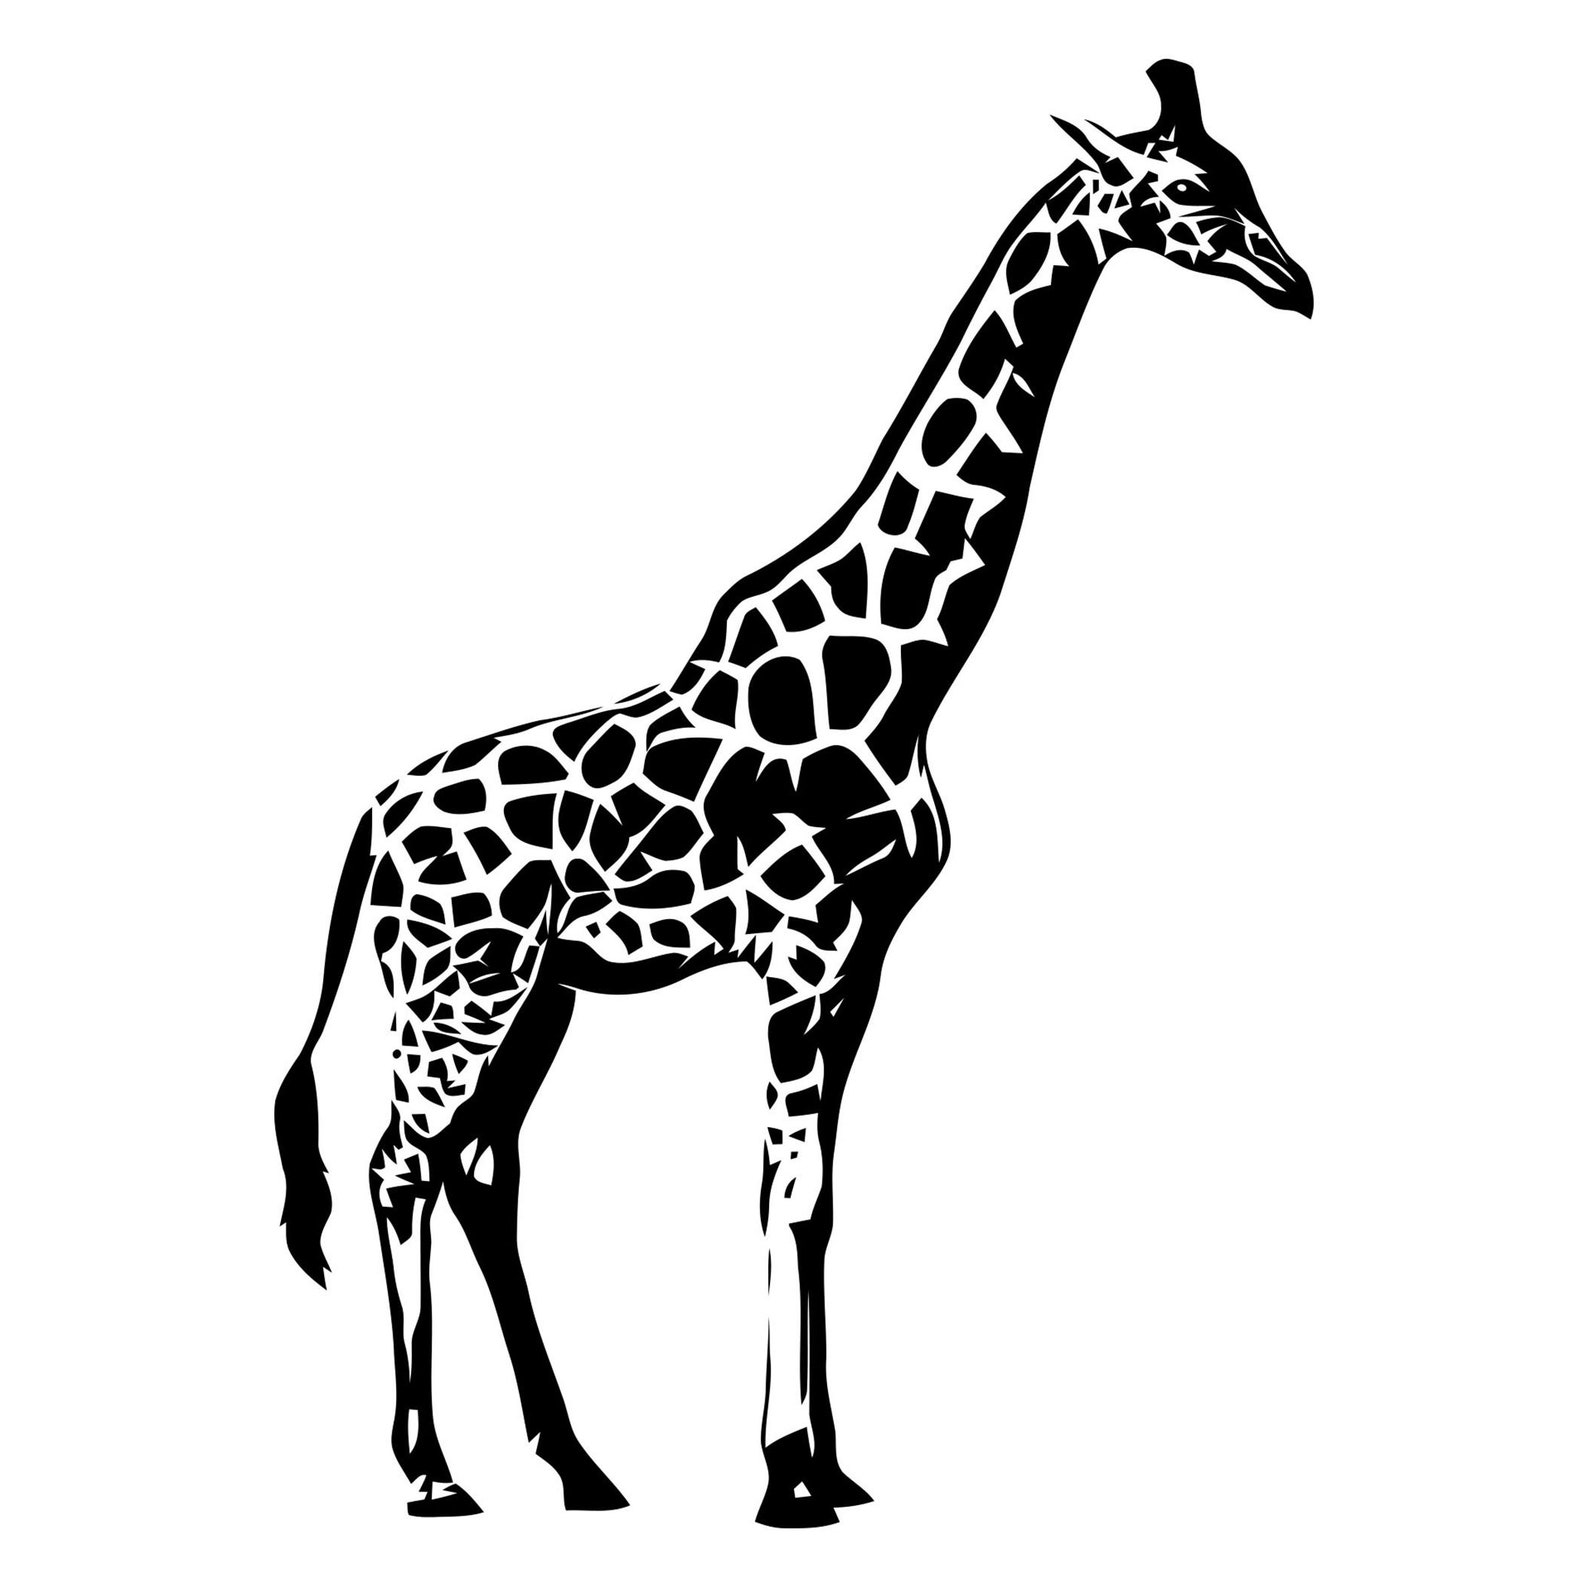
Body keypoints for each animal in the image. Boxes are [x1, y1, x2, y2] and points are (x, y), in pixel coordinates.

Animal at [275, 61, 1311, 1527]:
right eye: (1183, 189)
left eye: (1243, 172)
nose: (1297, 282)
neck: (903, 671)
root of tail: (370, 822)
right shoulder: (802, 946)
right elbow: (782, 1189)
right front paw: (785, 1477)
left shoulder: (865, 954)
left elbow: (821, 1194)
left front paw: (830, 1462)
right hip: (453, 986)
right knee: (398, 1165)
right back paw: (430, 1475)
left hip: (536, 992)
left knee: (483, 1170)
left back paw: (579, 1466)